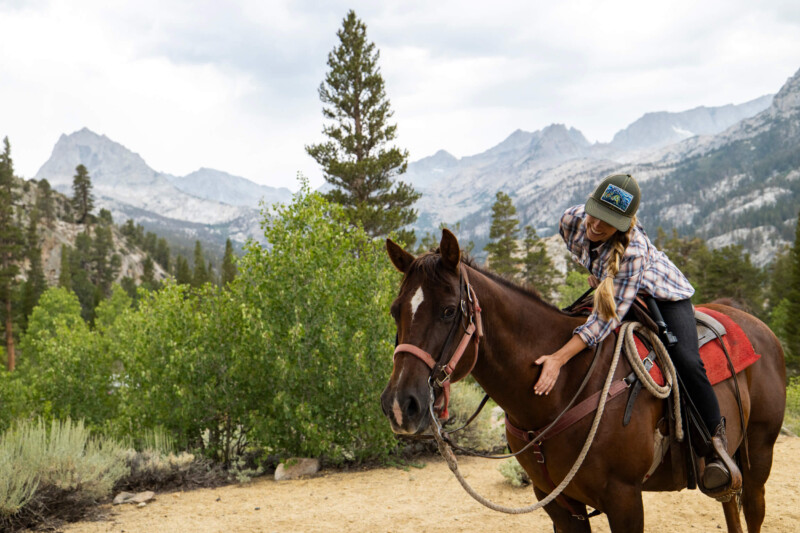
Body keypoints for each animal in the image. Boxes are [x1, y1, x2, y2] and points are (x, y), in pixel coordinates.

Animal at [382, 231, 788, 532]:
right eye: (395, 310)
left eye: (449, 310)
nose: (401, 405)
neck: (562, 388)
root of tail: (758, 326)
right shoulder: (559, 504)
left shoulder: (625, 501)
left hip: (758, 455)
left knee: (753, 510)